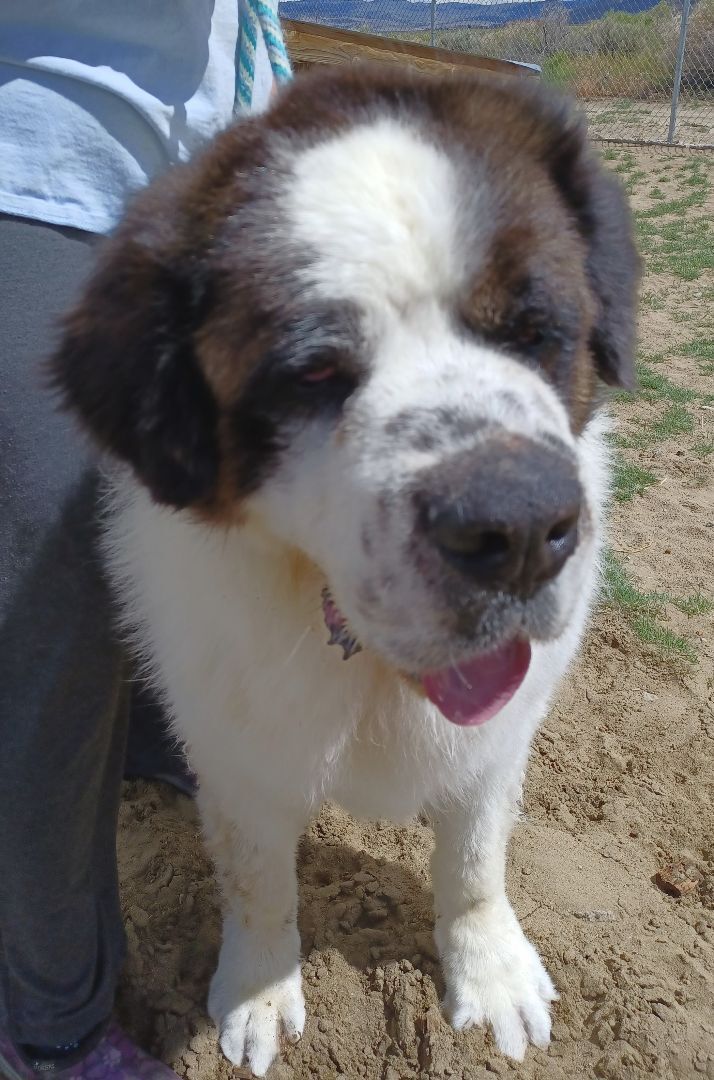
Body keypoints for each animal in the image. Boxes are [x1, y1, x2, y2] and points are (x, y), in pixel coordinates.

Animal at [52, 65, 639, 1080]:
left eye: (534, 332)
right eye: (317, 373)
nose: (520, 526)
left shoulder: (496, 743)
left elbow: (476, 861)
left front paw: (489, 974)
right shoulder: (241, 754)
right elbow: (258, 882)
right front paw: (258, 994)